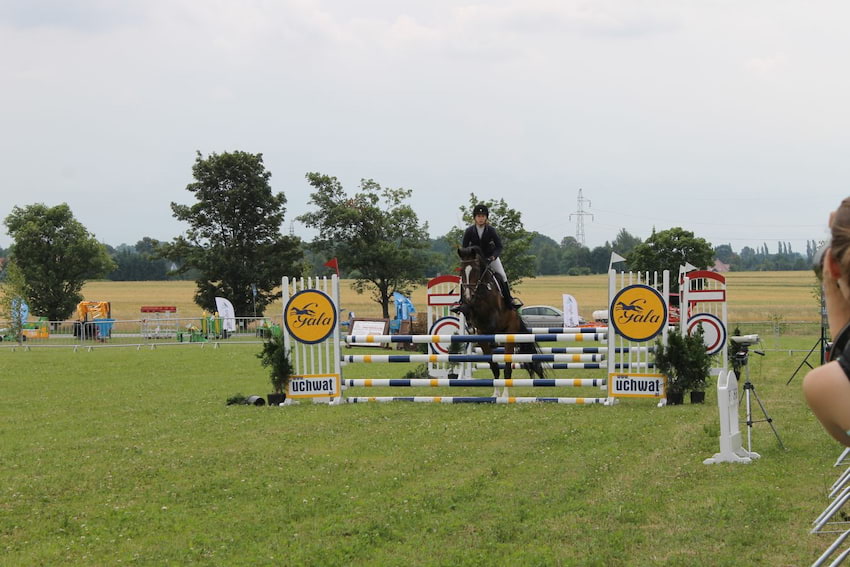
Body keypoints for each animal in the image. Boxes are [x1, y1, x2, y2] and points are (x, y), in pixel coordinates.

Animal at [458, 245, 544, 400]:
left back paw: (505, 395)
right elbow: (494, 367)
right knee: (495, 365)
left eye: (475, 270)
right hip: (484, 342)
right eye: (461, 271)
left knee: (508, 367)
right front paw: (495, 394)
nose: (468, 295)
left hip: (509, 336)